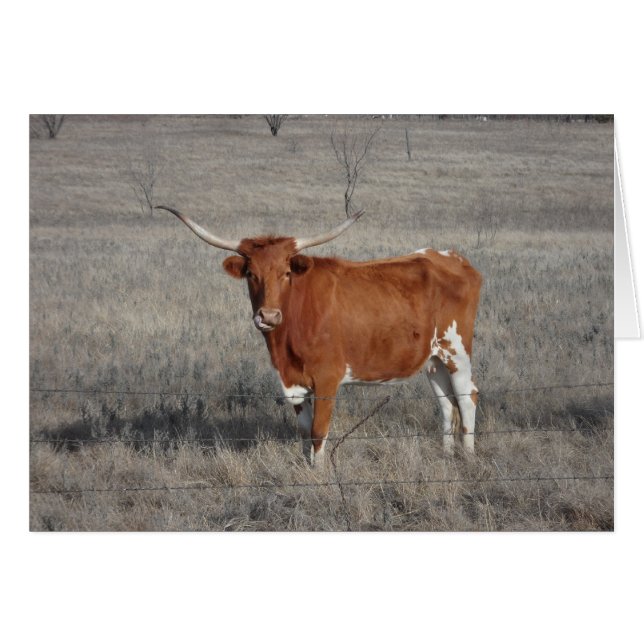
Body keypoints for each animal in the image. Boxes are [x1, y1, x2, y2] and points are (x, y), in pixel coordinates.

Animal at [158, 205, 482, 466]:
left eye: (286, 273)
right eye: (251, 274)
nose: (269, 316)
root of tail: (452, 258)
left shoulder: (327, 379)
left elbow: (318, 431)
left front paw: (319, 473)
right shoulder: (293, 382)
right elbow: (304, 431)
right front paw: (305, 468)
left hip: (457, 351)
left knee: (467, 398)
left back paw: (468, 458)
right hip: (434, 360)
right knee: (446, 405)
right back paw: (446, 456)